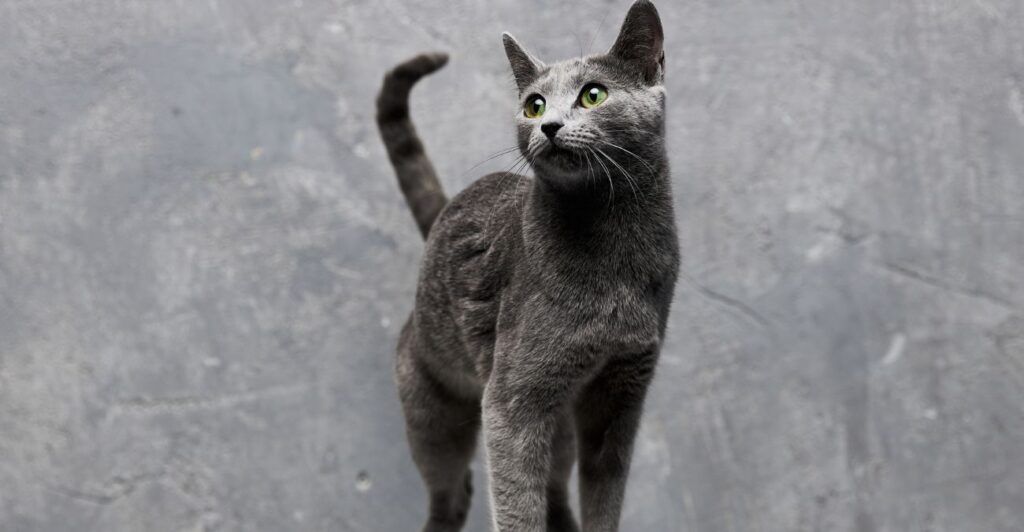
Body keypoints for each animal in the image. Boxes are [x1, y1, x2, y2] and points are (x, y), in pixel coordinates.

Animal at [372, 2, 675, 527]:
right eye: (534, 104)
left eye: (593, 94)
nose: (548, 125)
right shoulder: (513, 399)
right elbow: (517, 504)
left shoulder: (622, 395)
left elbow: (604, 497)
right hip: (433, 410)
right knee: (454, 491)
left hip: (560, 426)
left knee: (553, 488)